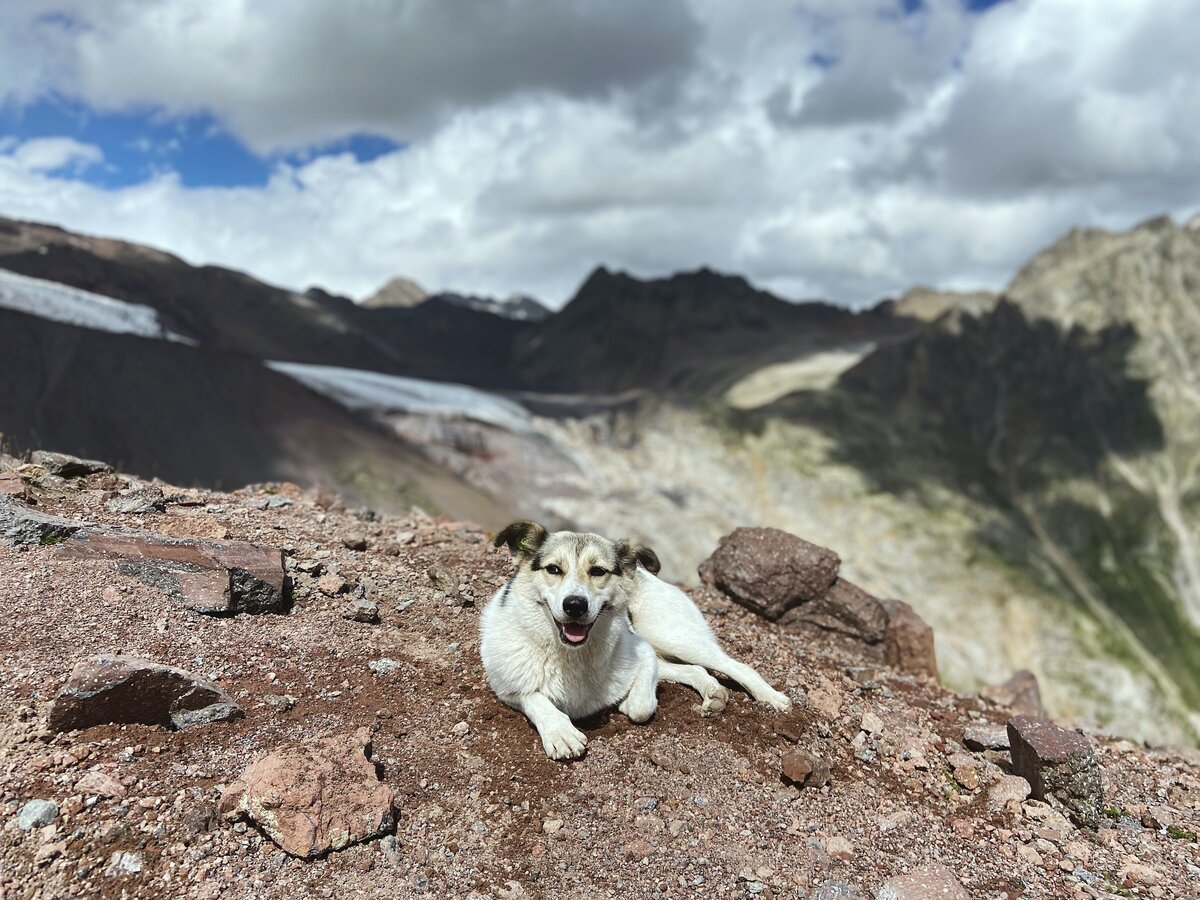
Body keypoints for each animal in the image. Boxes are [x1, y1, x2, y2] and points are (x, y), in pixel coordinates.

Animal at [477, 520, 796, 763]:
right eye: (553, 569)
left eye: (598, 571)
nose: (575, 605)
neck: (571, 654)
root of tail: (644, 572)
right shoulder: (507, 687)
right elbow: (534, 697)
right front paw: (559, 731)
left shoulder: (642, 650)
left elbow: (642, 705)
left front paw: (629, 703)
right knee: (693, 670)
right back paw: (713, 693)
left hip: (669, 635)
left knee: (734, 665)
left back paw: (771, 697)